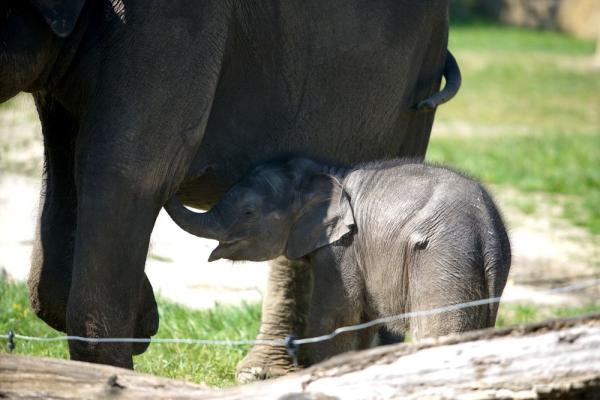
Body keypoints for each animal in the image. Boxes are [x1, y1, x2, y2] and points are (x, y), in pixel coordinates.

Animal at [165, 158, 510, 364]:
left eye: (248, 212)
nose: (180, 177)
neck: (326, 171)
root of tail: (487, 229)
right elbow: (362, 322)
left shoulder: (342, 249)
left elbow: (336, 317)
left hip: (442, 259)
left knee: (437, 332)